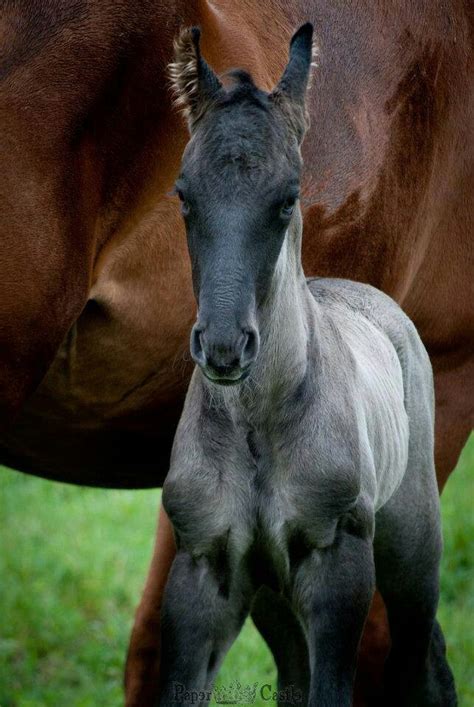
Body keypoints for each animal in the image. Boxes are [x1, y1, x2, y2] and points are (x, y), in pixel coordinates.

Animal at [159, 22, 456, 707]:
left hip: (411, 548)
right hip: (274, 598)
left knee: (422, 658)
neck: (257, 426)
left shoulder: (337, 566)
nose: (224, 348)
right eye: (184, 197)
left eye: (287, 199)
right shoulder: (203, 569)